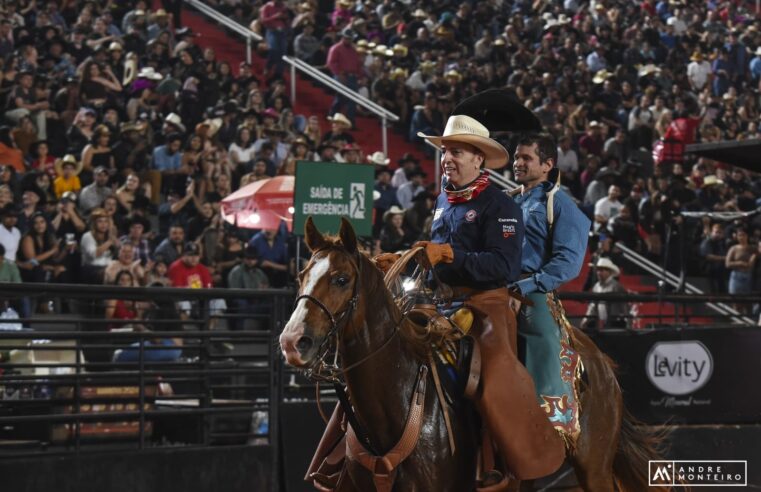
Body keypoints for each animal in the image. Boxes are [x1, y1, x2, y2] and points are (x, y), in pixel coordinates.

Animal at [280, 219, 664, 492]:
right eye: (301, 275)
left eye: (341, 279)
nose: (293, 341)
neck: (398, 398)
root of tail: (597, 361)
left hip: (594, 467)